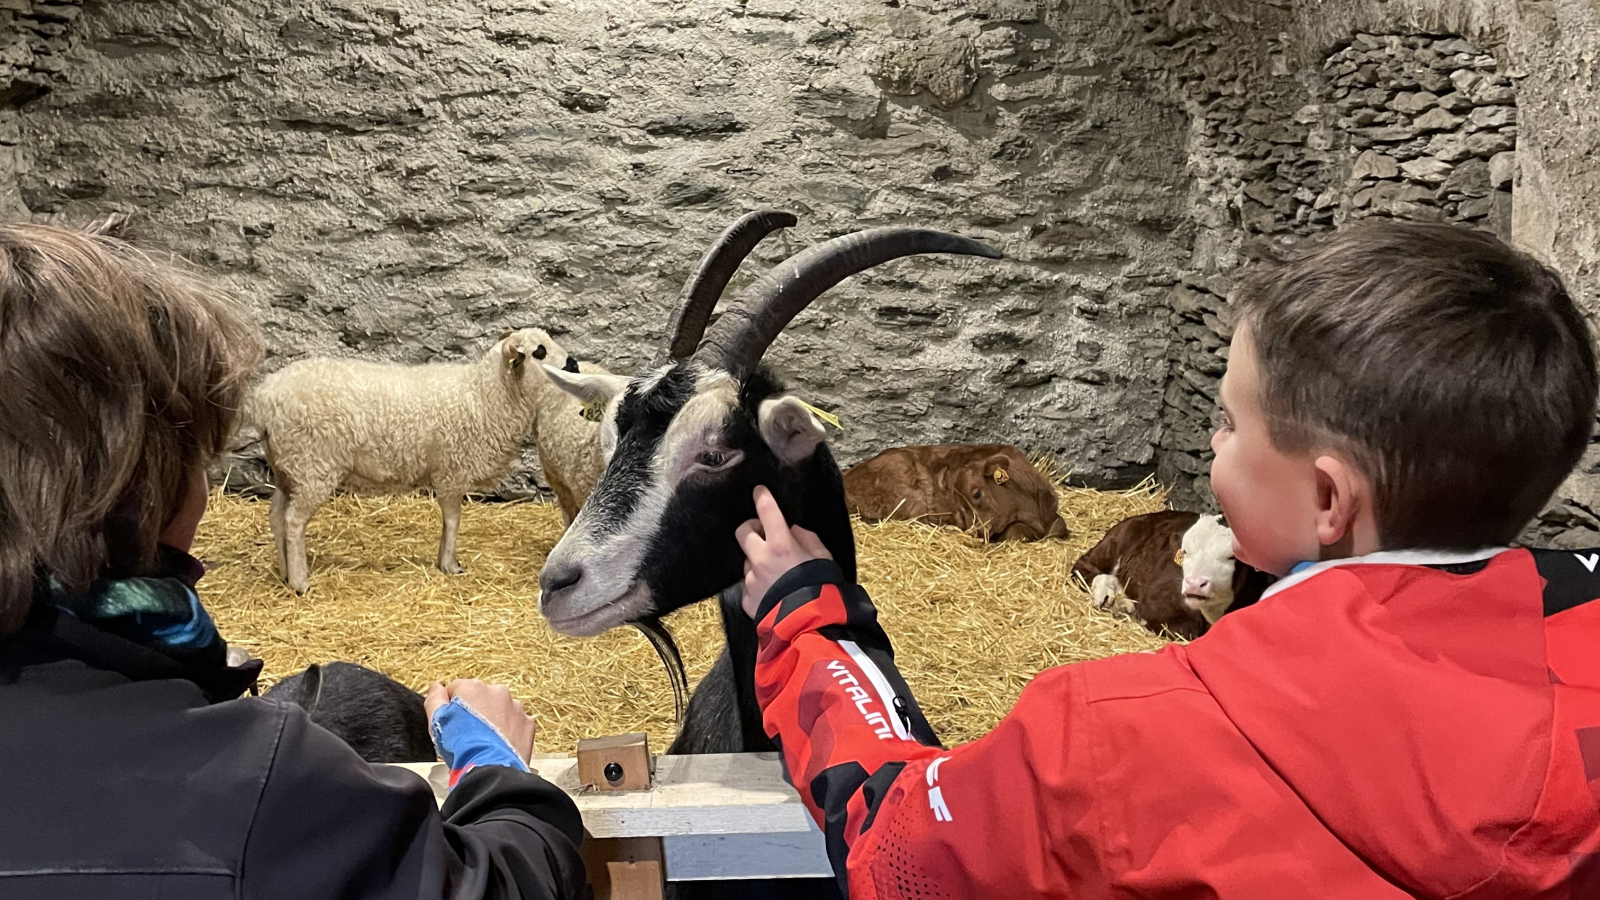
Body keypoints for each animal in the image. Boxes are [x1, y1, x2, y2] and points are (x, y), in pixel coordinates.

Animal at [246, 325, 598, 592]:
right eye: (539, 351)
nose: (573, 364)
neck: (485, 394)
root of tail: (264, 397)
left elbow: (448, 521)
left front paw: (444, 561)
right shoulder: (452, 470)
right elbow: (453, 520)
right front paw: (450, 565)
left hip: (288, 469)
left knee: (276, 517)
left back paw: (284, 572)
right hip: (312, 465)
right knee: (293, 522)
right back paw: (300, 582)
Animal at [1068, 512, 1280, 637]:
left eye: (1231, 557)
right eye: (1185, 552)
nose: (1194, 583)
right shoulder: (1157, 600)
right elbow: (1184, 630)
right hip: (1114, 543)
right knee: (1084, 569)